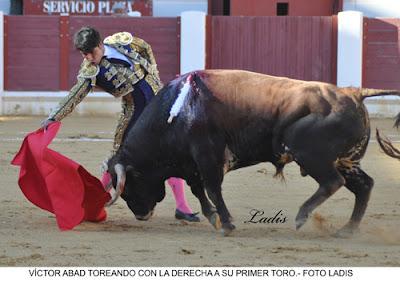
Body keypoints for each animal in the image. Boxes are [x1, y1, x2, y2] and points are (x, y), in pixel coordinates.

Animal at [107, 70, 400, 236]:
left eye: (128, 185)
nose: (141, 215)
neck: (177, 111)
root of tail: (354, 92)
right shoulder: (191, 163)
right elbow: (198, 190)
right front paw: (213, 217)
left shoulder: (207, 157)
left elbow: (212, 188)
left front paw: (226, 223)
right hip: (346, 160)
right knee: (364, 185)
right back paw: (347, 230)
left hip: (312, 155)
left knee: (332, 182)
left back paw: (302, 216)